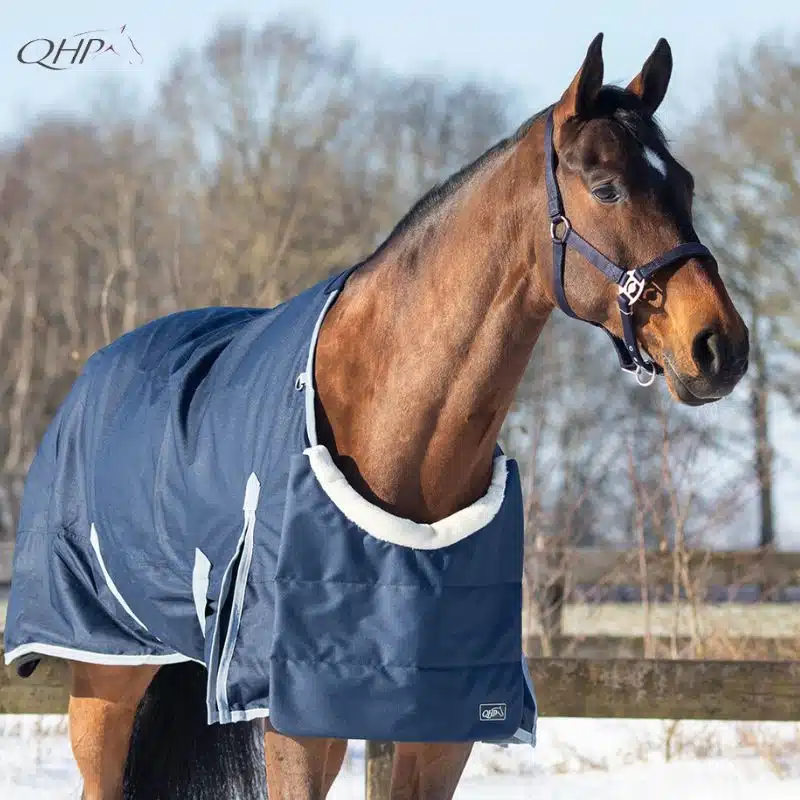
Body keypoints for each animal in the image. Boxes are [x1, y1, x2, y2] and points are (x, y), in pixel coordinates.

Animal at [4, 33, 749, 800]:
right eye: (606, 188)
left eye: (685, 184)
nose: (719, 346)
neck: (395, 430)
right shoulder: (300, 727)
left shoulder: (441, 725)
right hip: (105, 680)